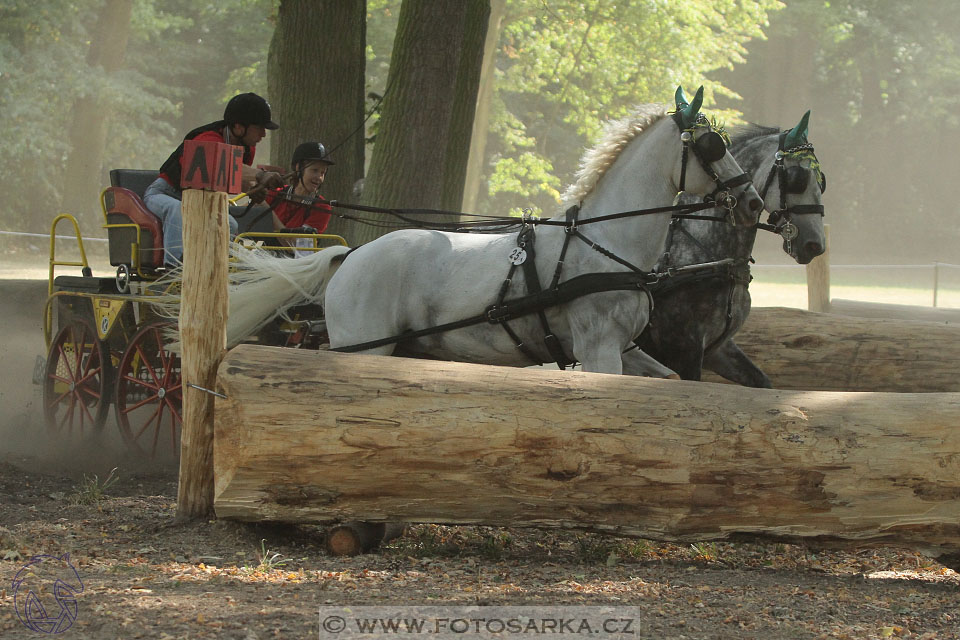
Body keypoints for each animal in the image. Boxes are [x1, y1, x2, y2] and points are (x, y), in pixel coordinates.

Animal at [632, 110, 828, 384]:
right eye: (796, 178)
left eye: (822, 182)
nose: (814, 244)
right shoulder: (684, 351)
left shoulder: (718, 349)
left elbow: (762, 382)